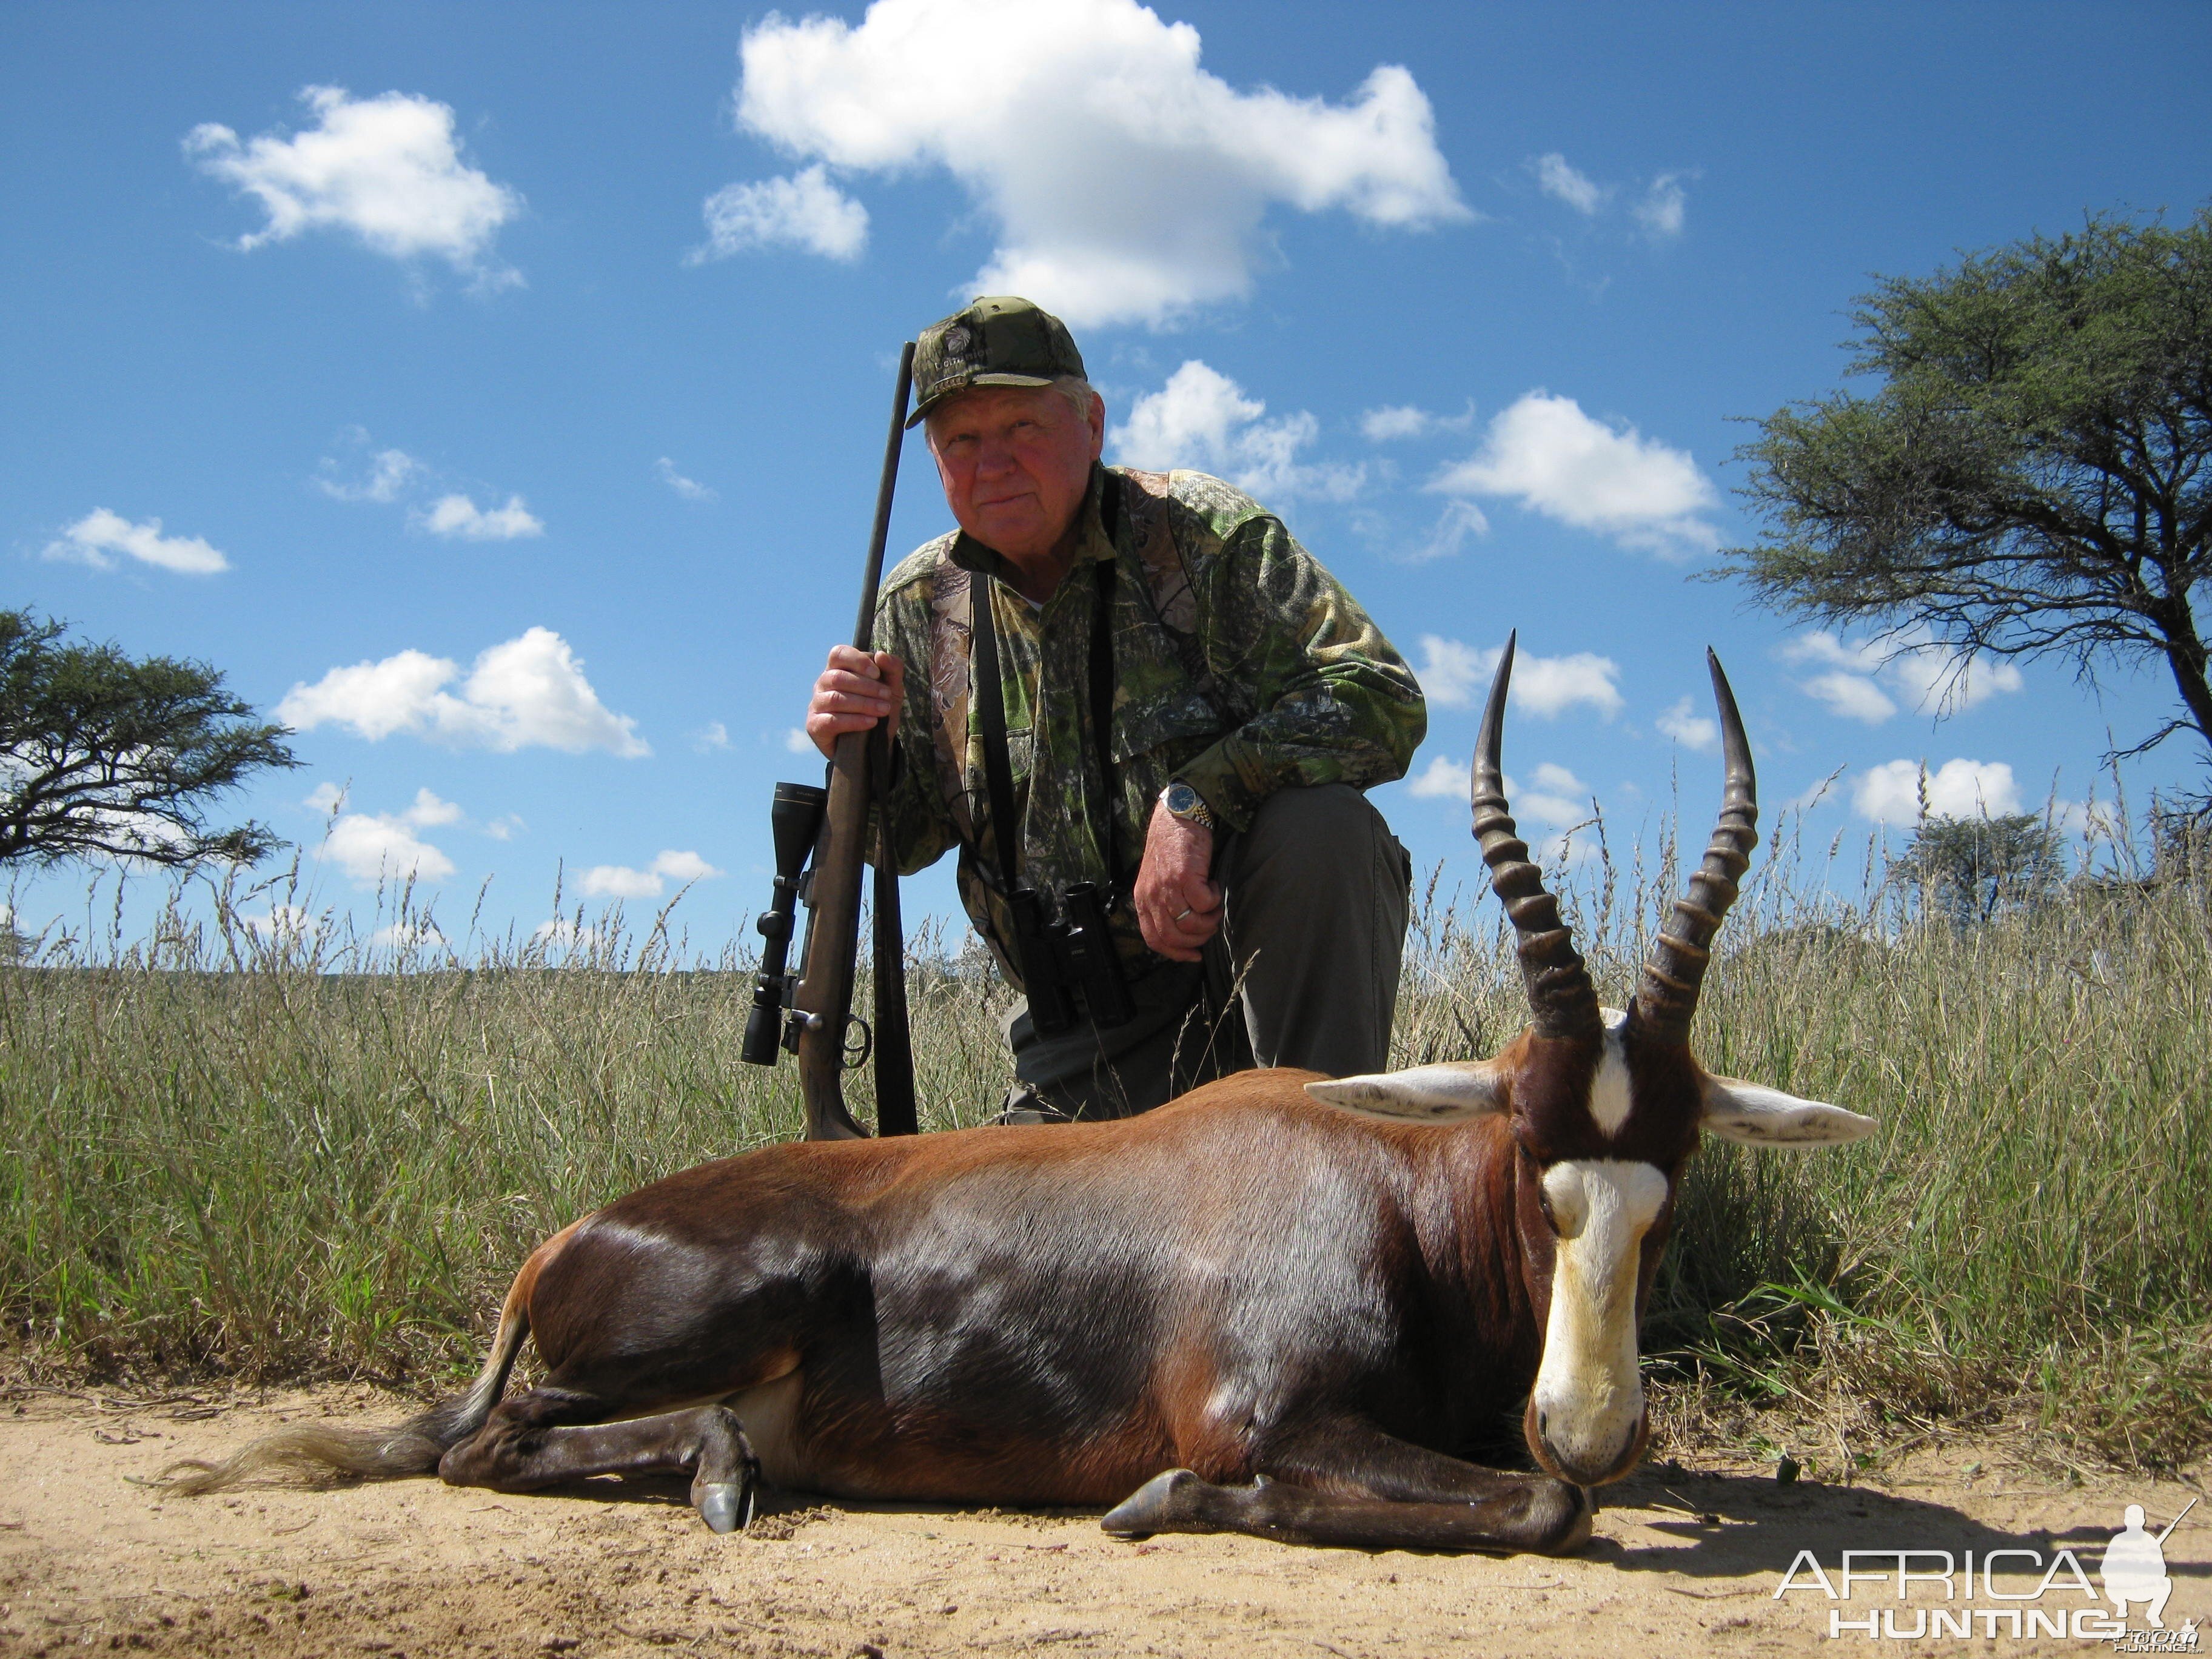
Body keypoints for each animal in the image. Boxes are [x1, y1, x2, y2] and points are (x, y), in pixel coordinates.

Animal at [163, 641, 1875, 1557]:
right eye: (1530, 1146)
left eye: (1677, 1164)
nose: (1590, 1424)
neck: (1377, 1179)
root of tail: (564, 1240)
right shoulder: (1272, 1414)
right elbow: (1533, 1512)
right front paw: (1157, 1501)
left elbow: (1542, 1502)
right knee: (488, 1442)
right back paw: (722, 1468)